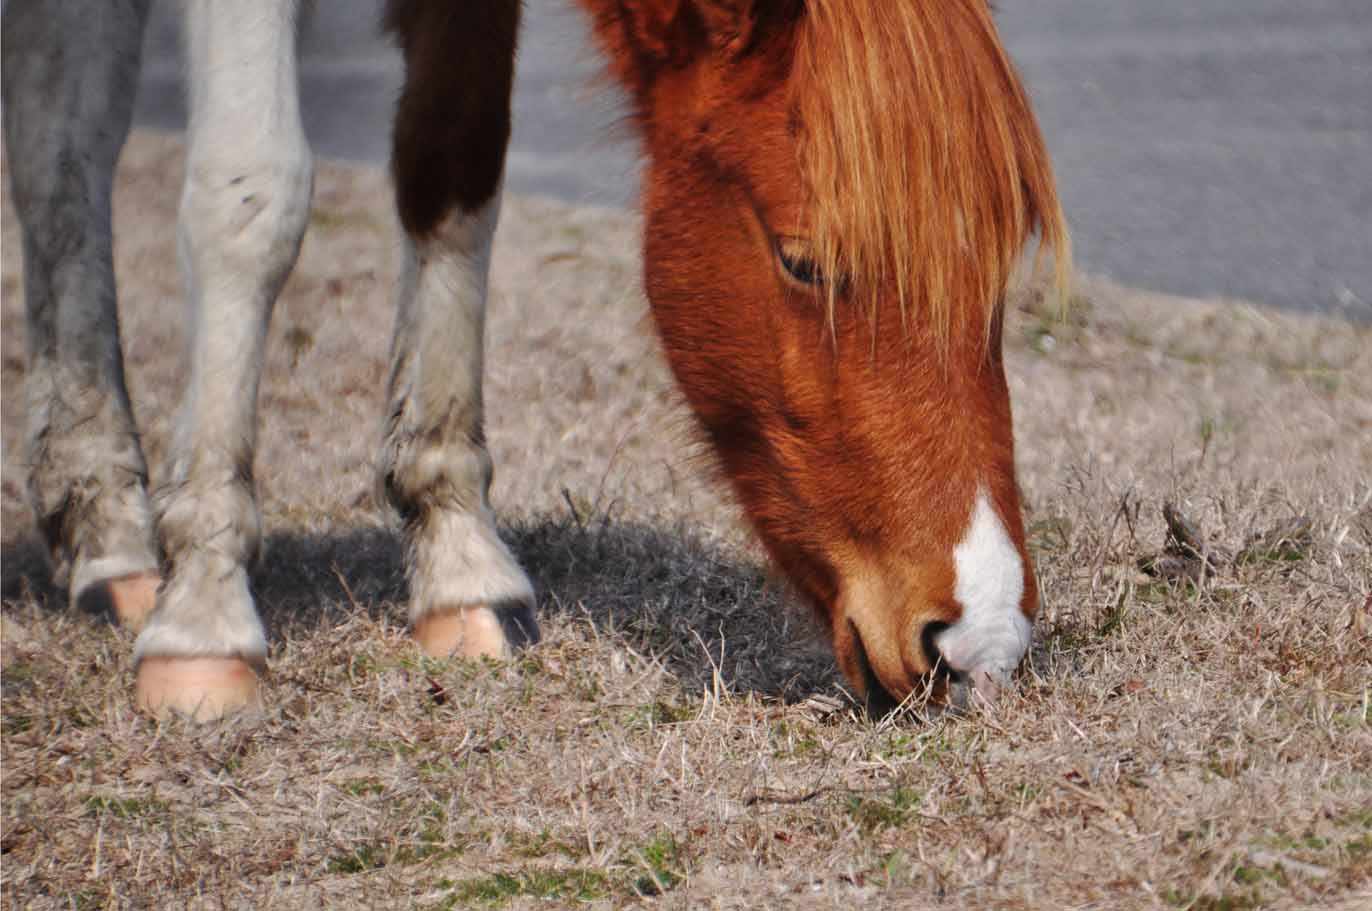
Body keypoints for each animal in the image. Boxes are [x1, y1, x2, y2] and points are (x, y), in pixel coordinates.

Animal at [2, 0, 1059, 724]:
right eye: (805, 261)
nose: (980, 637)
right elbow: (252, 194)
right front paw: (206, 613)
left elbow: (451, 168)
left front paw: (457, 554)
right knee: (72, 148)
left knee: (60, 136)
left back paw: (100, 520)